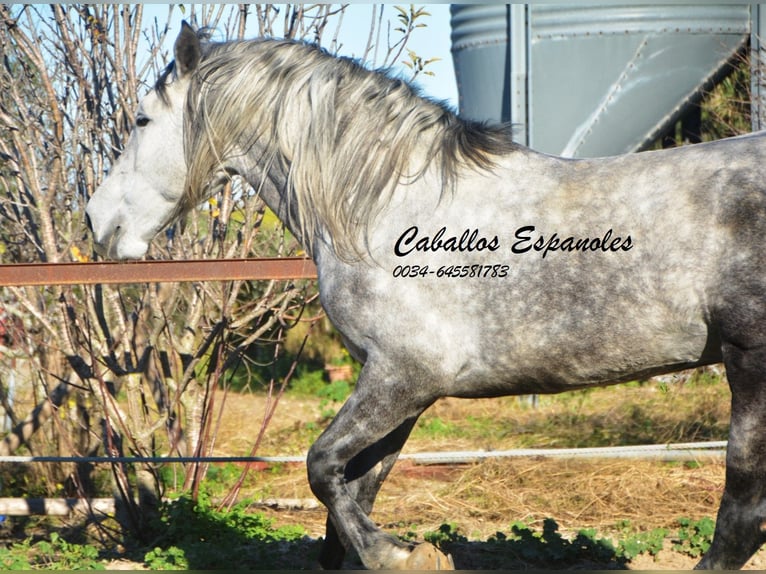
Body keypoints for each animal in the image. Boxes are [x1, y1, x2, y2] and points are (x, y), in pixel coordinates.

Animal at [87, 23, 766, 572]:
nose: (97, 220)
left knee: (740, 515)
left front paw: (400, 554)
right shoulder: (399, 386)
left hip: (749, 366)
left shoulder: (405, 375)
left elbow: (322, 466)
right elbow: (350, 492)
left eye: (142, 121)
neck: (384, 208)